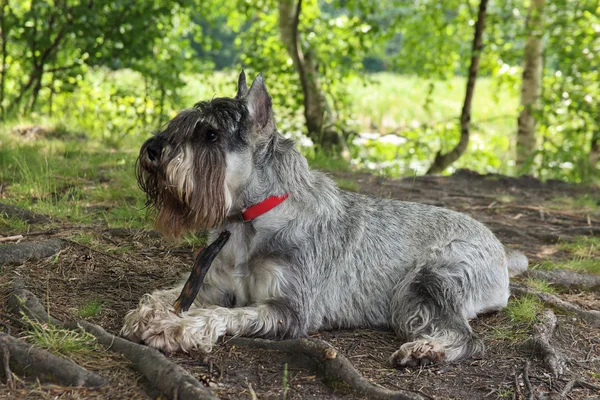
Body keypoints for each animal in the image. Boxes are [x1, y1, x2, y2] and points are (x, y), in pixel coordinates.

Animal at [120, 72, 524, 368]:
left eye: (210, 133)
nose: (152, 150)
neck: (250, 219)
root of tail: (502, 252)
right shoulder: (211, 282)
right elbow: (170, 293)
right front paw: (146, 313)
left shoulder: (288, 311)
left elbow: (221, 315)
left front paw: (175, 327)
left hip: (427, 281)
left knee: (468, 338)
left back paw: (426, 350)